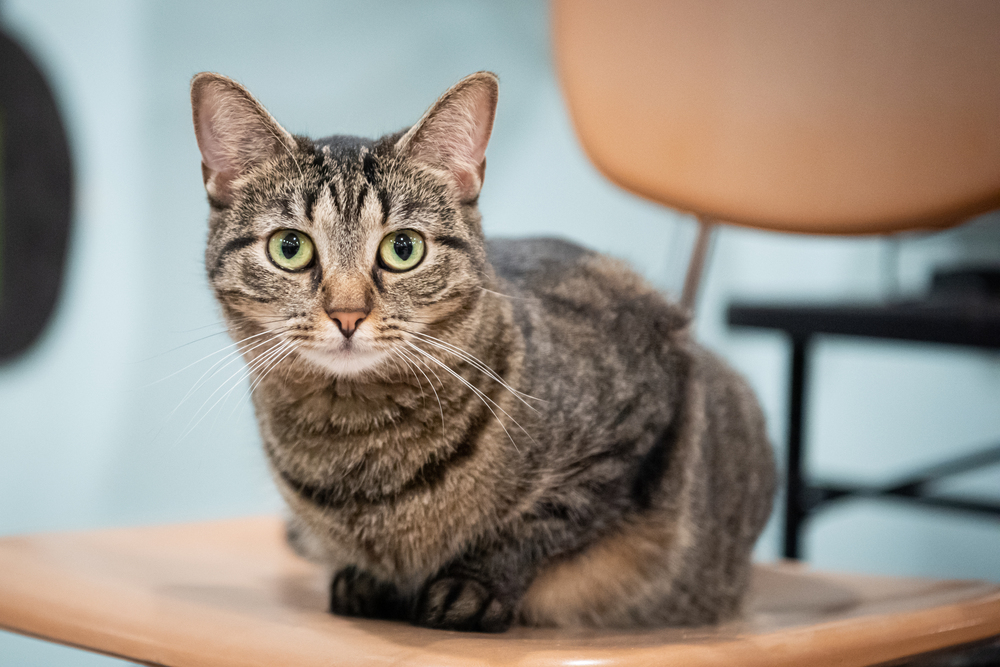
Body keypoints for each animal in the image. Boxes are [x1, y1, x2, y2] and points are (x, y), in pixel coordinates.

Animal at [191, 70, 776, 636]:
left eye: (403, 248)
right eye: (290, 248)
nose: (348, 315)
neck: (359, 450)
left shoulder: (638, 422)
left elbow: (546, 521)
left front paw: (472, 586)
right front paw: (366, 579)